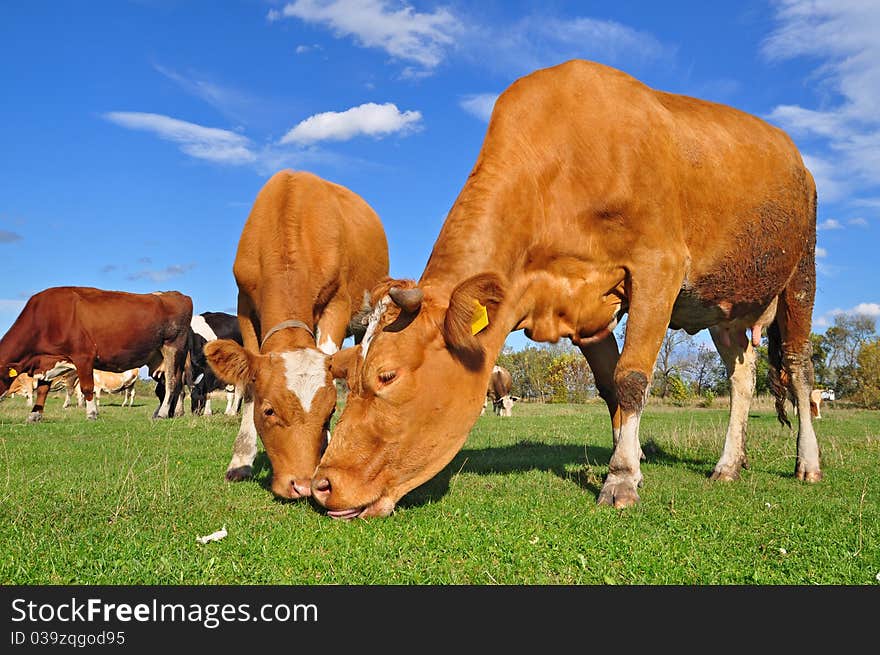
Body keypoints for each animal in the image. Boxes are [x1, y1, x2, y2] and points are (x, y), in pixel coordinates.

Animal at [0, 286, 192, 420]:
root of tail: (176, 295)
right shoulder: (47, 361)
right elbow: (42, 389)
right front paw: (35, 415)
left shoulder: (83, 356)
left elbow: (87, 387)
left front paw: (92, 413)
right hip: (158, 358)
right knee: (168, 385)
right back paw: (169, 412)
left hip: (173, 349)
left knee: (172, 383)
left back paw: (163, 413)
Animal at [312, 62, 820, 524]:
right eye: (346, 372)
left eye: (387, 375)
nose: (322, 484)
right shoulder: (586, 313)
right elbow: (610, 388)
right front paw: (630, 464)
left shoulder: (660, 266)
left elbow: (632, 378)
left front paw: (620, 480)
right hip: (725, 303)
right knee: (741, 376)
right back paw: (729, 464)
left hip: (800, 275)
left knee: (799, 370)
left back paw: (808, 464)